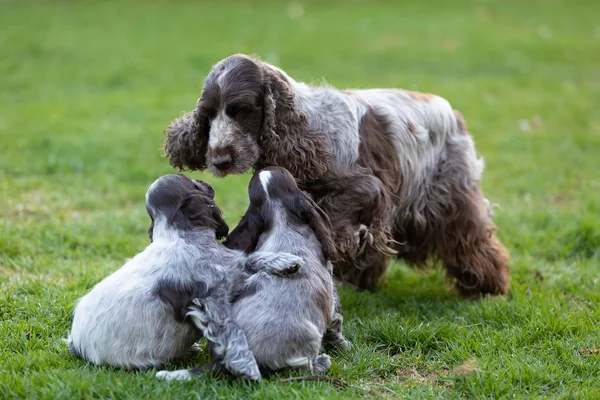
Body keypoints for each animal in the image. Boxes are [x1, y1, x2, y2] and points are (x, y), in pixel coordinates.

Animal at [68, 175, 302, 382]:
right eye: (192, 182)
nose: (206, 182)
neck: (178, 235)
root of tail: (75, 344)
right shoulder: (211, 302)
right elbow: (232, 329)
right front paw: (246, 365)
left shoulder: (228, 270)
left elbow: (247, 260)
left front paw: (286, 261)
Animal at [157, 167, 350, 380]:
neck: (282, 220)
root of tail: (220, 362)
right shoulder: (331, 298)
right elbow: (335, 322)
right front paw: (343, 346)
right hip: (308, 339)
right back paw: (321, 363)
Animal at [164, 53, 510, 296]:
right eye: (208, 114)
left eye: (242, 110)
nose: (219, 159)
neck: (304, 130)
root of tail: (451, 110)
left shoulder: (367, 189)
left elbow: (330, 218)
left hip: (450, 195)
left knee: (471, 239)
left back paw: (486, 287)